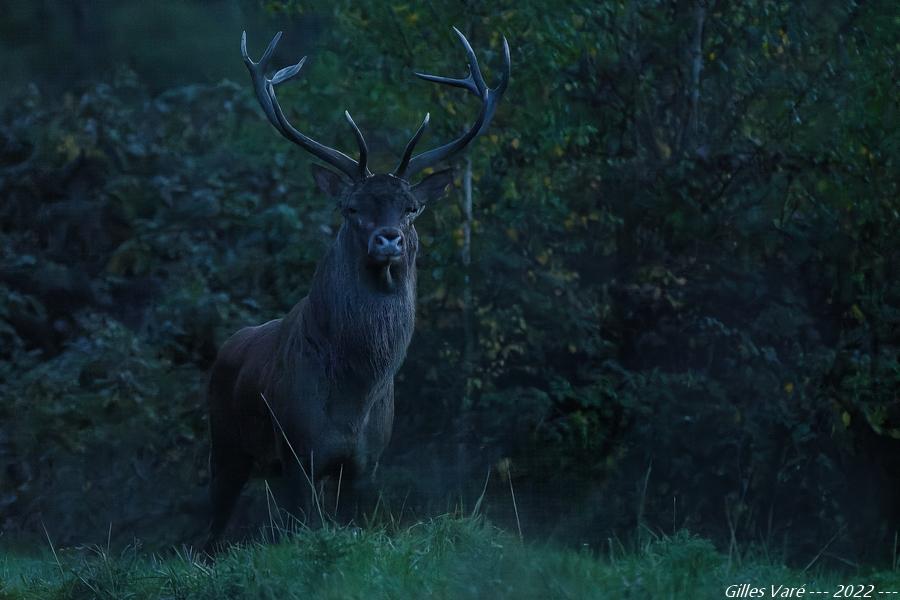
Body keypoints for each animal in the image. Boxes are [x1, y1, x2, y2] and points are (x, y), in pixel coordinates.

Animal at [205, 28, 510, 552]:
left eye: (411, 208)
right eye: (351, 207)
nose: (387, 239)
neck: (355, 395)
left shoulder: (367, 463)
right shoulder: (297, 452)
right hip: (223, 445)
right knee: (206, 527)